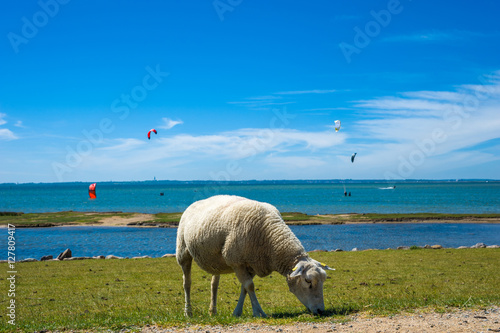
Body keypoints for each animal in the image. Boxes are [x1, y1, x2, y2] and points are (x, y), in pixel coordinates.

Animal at [175, 195, 332, 316]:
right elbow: (249, 286)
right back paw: (188, 312)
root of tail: (196, 202)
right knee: (186, 283)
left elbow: (244, 288)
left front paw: (237, 313)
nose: (320, 311)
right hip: (183, 251)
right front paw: (259, 312)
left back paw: (212, 311)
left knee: (214, 284)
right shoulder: (236, 261)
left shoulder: (253, 263)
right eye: (308, 281)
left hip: (215, 260)